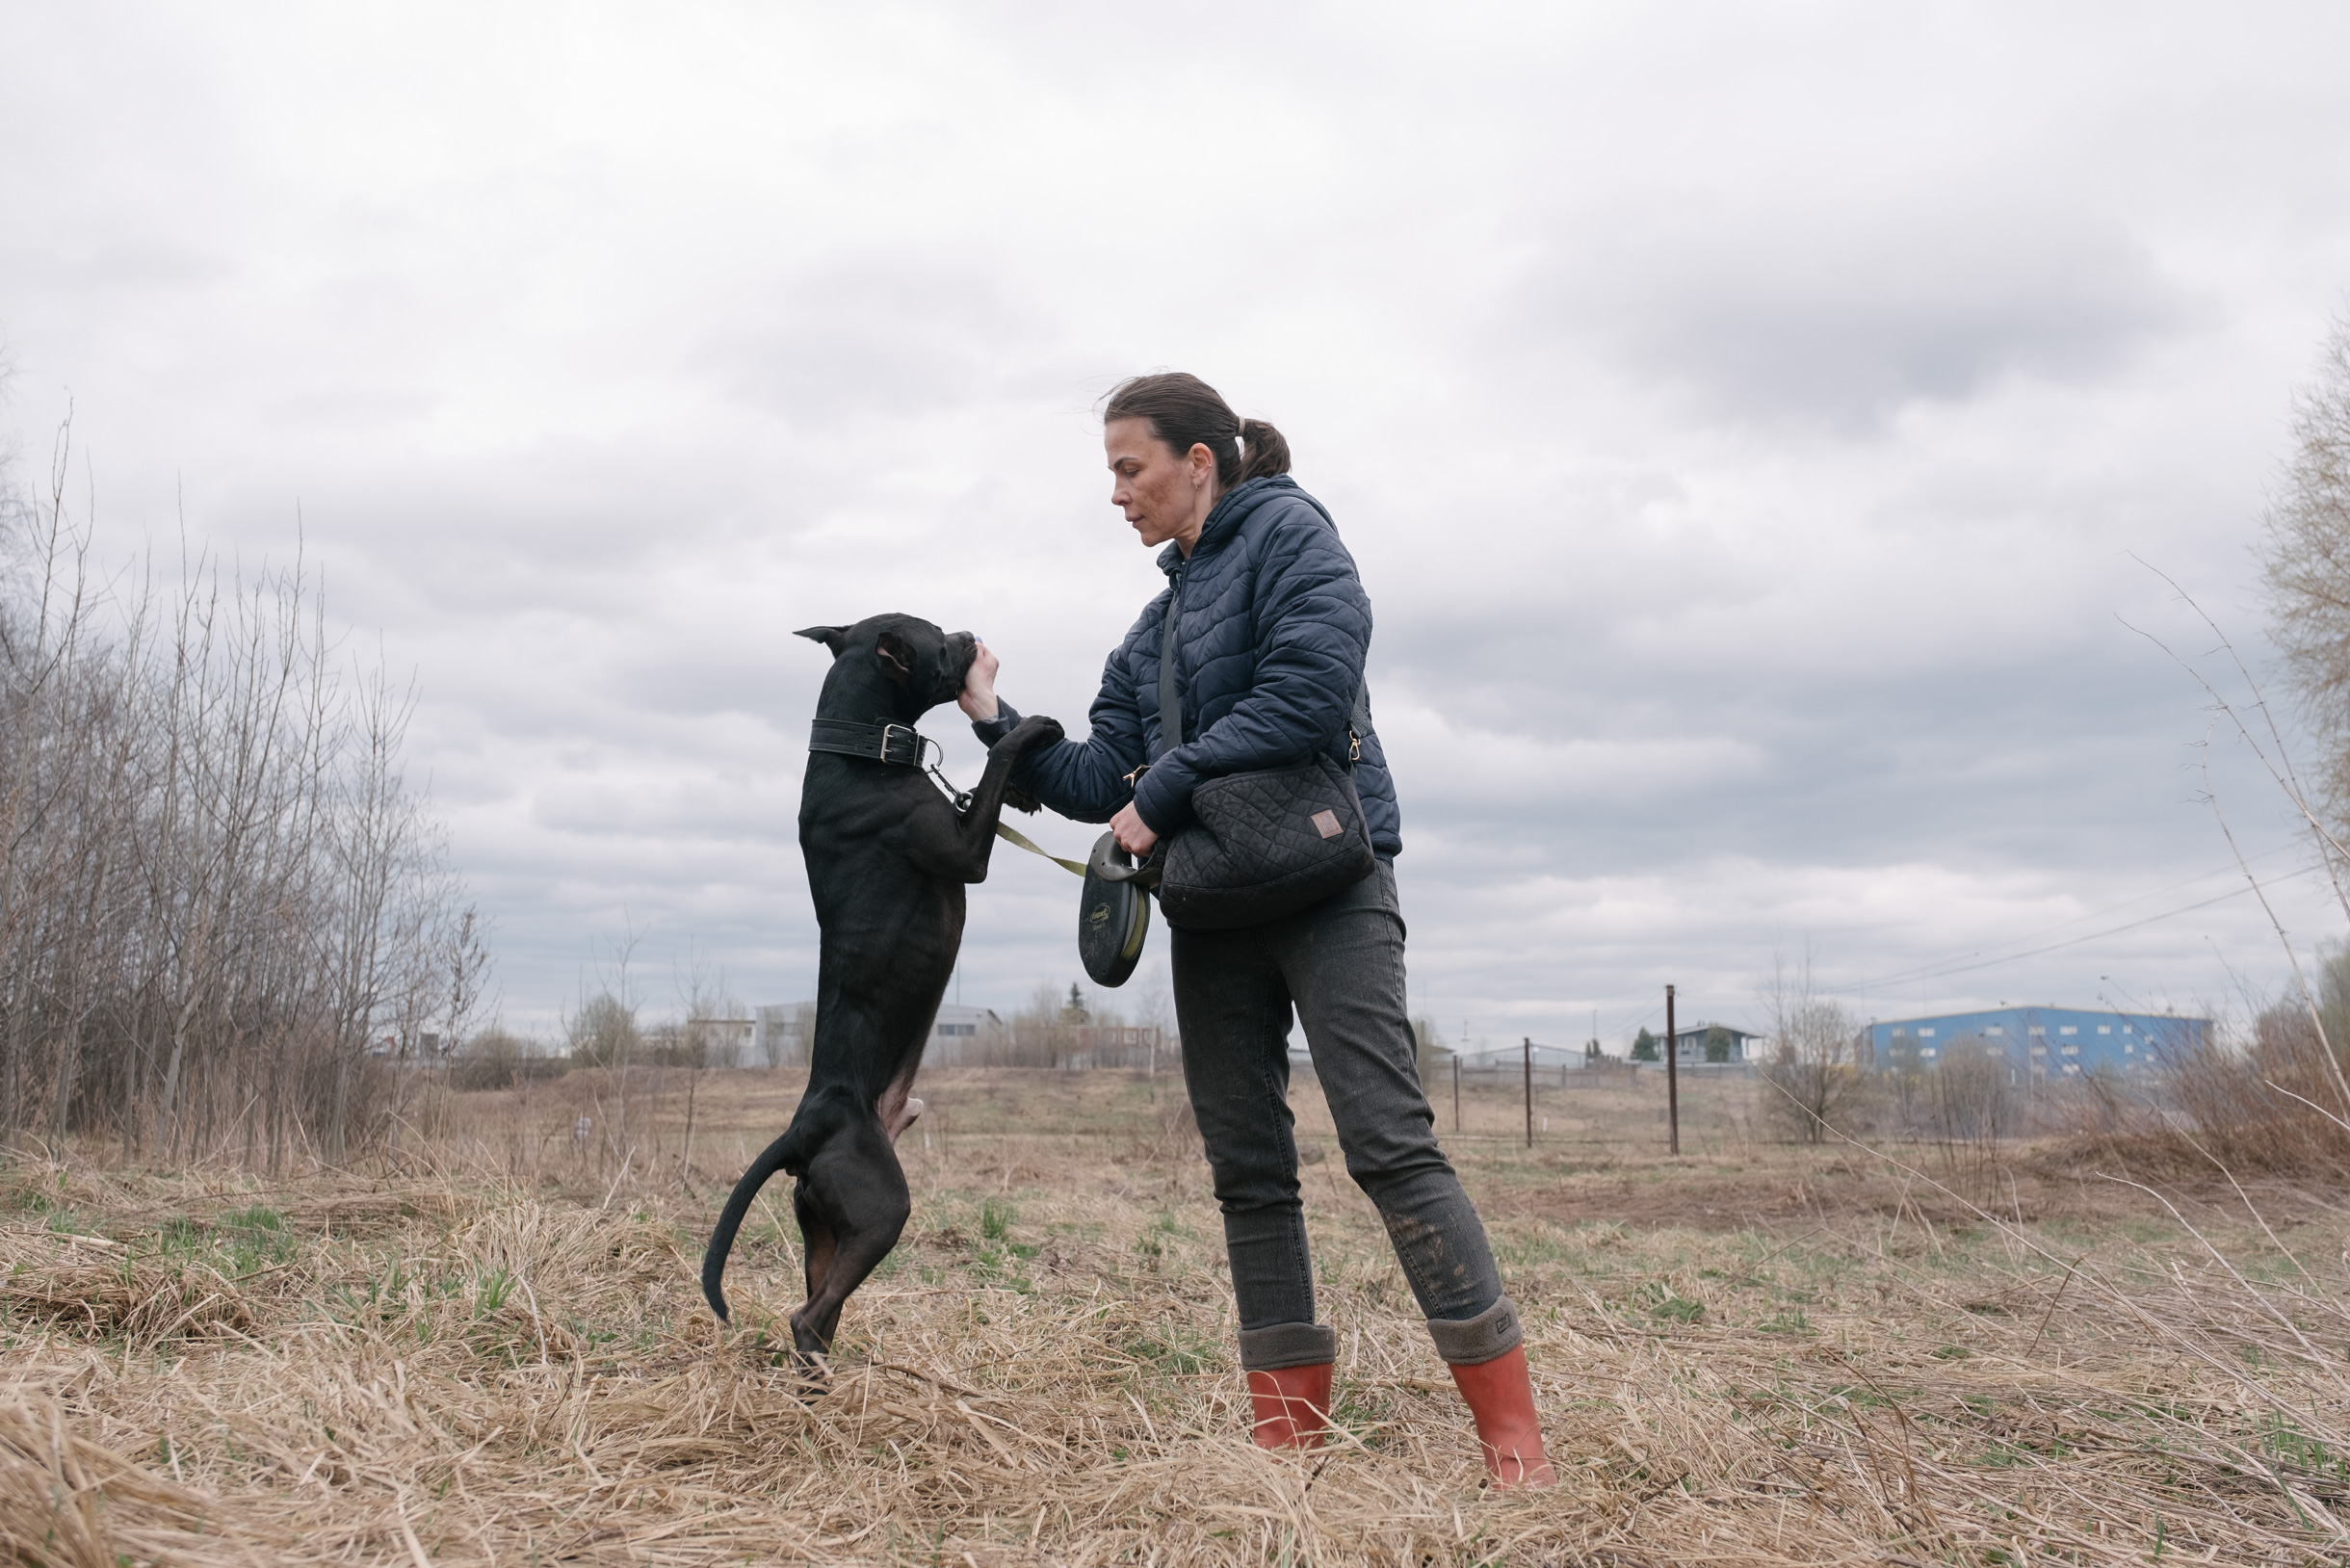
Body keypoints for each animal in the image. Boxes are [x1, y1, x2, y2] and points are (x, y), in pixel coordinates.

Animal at [700, 620, 1061, 1363]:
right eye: (940, 638)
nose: (971, 632)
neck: (864, 750)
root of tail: (802, 1131)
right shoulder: (964, 854)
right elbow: (995, 761)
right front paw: (1030, 729)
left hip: (825, 1225)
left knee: (816, 1313)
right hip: (880, 1209)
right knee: (807, 1316)